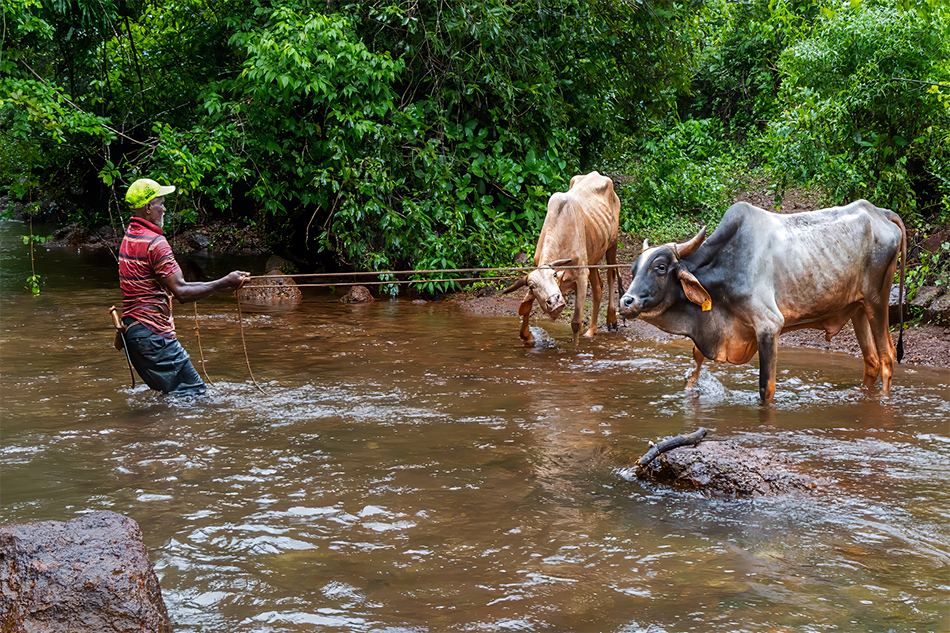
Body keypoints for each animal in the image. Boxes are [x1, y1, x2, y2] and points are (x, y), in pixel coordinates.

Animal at [503, 171, 621, 342]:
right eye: (532, 286)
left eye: (553, 275)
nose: (554, 301)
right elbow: (526, 309)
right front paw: (527, 336)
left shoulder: (581, 276)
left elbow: (575, 323)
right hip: (593, 255)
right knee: (598, 288)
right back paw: (592, 330)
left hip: (612, 244)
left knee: (611, 275)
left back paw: (611, 318)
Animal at [618, 200, 906, 401]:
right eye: (633, 269)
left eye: (660, 267)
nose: (626, 302)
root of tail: (879, 212)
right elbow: (693, 374)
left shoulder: (769, 326)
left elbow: (765, 388)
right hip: (858, 307)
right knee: (871, 360)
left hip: (877, 300)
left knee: (887, 357)